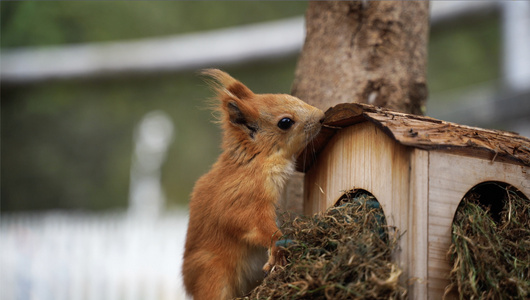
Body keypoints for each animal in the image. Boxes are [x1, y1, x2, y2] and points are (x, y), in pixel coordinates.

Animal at [180, 69, 322, 298]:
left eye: (287, 95)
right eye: (285, 122)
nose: (321, 116)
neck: (256, 160)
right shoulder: (242, 196)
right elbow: (251, 223)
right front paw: (277, 246)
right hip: (214, 275)